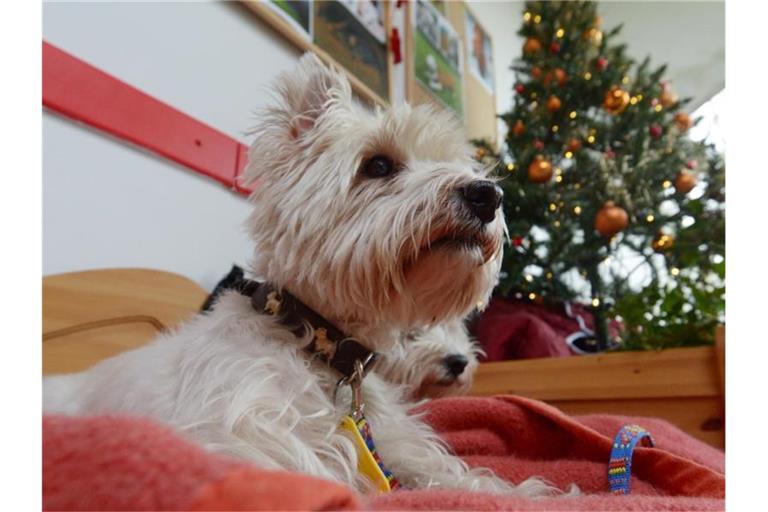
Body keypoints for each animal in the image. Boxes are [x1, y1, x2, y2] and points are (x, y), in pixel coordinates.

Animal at [45, 53, 556, 496]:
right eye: (378, 164)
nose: (487, 195)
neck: (321, 344)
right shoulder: (243, 435)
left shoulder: (393, 439)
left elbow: (440, 468)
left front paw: (523, 491)